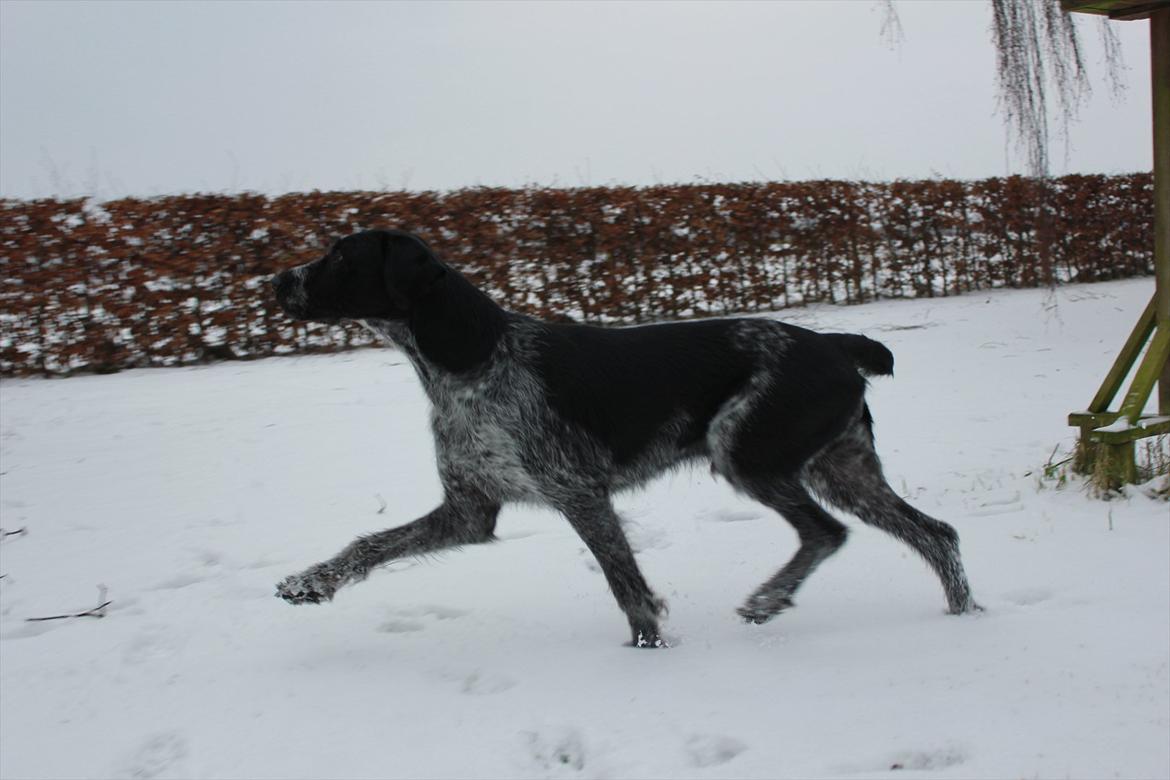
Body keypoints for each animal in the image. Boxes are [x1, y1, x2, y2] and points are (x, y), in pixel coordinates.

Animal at [273, 230, 978, 645]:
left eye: (340, 256)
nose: (275, 280)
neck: (468, 357)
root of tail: (834, 344)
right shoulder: (469, 510)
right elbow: (369, 544)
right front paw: (311, 583)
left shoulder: (578, 493)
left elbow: (629, 590)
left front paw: (647, 653)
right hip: (842, 468)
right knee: (935, 534)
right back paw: (966, 618)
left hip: (747, 453)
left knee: (827, 533)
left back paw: (768, 601)